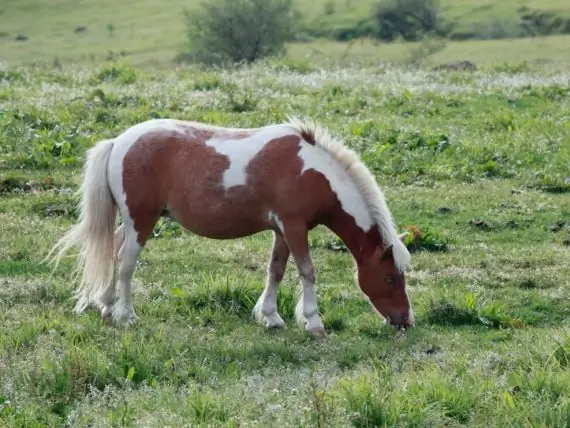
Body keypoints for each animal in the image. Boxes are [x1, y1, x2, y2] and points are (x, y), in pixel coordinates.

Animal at [46, 116, 412, 338]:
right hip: (141, 221)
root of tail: (118, 141)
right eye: (389, 278)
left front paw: (271, 317)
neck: (312, 171)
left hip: (131, 221)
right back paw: (126, 314)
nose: (406, 320)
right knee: (125, 263)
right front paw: (313, 322)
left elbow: (276, 271)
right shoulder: (294, 227)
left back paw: (107, 305)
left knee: (113, 251)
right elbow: (307, 272)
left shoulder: (282, 230)